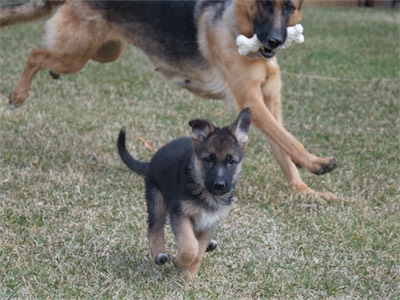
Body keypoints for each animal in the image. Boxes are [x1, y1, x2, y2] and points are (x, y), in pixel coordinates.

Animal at [0, 0, 338, 199]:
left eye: (289, 7)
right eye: (264, 4)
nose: (275, 41)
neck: (240, 28)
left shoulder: (268, 106)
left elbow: (283, 148)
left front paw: (304, 189)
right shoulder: (253, 103)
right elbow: (289, 139)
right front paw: (317, 163)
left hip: (103, 52)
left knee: (48, 57)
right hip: (78, 53)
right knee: (35, 54)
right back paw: (18, 94)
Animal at [117, 108, 252, 278]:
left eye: (231, 161)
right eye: (208, 160)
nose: (219, 185)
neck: (206, 194)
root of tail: (152, 161)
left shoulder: (209, 222)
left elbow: (198, 251)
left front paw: (189, 276)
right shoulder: (180, 214)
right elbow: (190, 245)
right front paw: (180, 262)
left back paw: (210, 245)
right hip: (156, 200)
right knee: (154, 229)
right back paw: (159, 255)